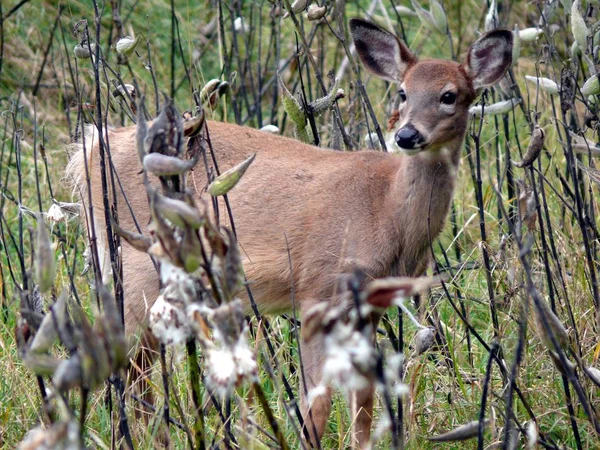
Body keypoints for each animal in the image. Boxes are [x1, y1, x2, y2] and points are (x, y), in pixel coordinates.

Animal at [69, 18, 510, 450]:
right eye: (402, 91)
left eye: (450, 95)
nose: (407, 136)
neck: (386, 209)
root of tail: (91, 148)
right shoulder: (317, 288)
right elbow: (316, 404)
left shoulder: (369, 306)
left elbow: (364, 401)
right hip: (136, 268)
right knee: (124, 365)